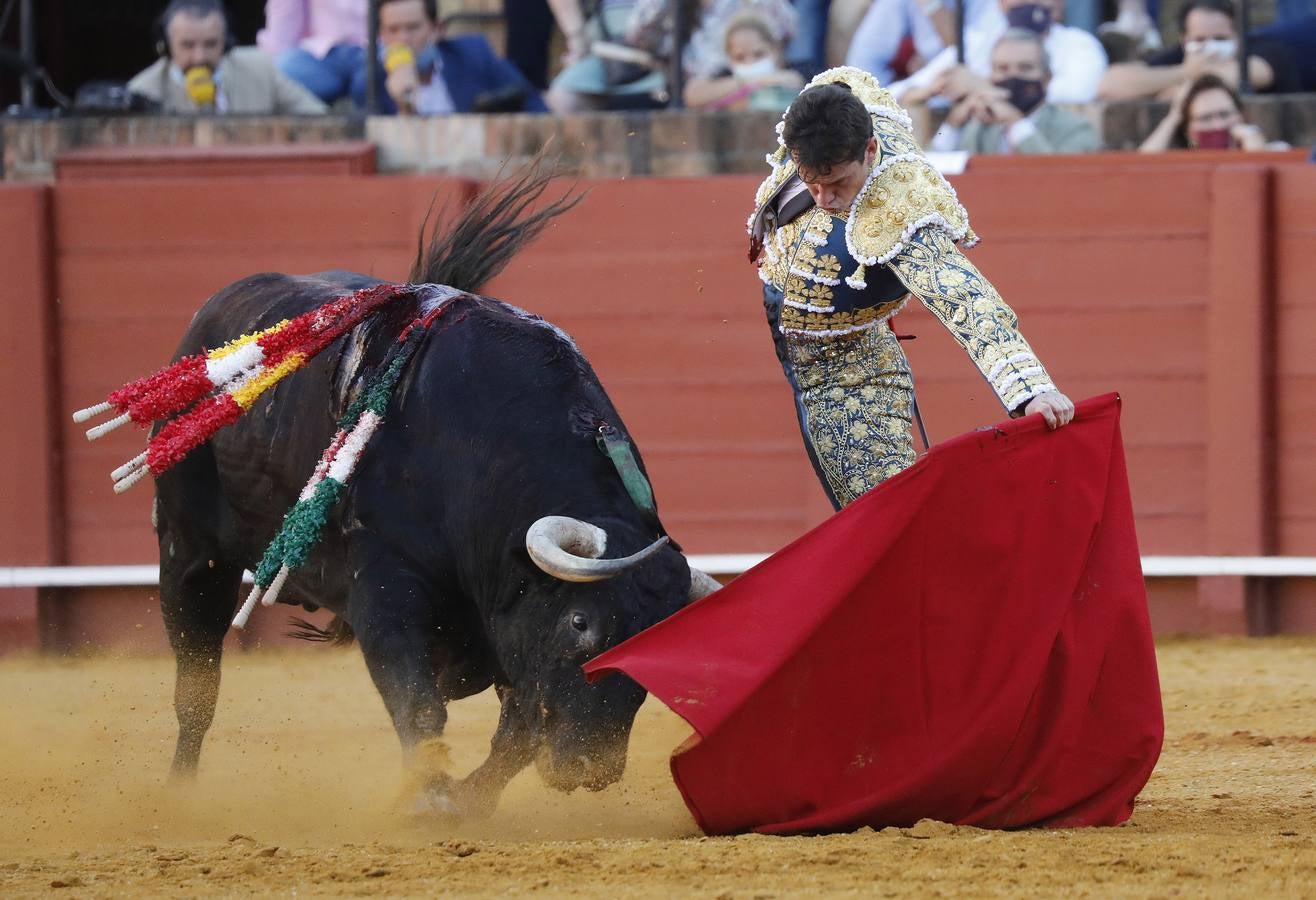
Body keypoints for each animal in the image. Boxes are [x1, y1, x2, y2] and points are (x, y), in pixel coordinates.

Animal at [153, 171, 721, 815]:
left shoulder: (506, 627)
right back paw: (178, 793)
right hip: (188, 551)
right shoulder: (386, 591)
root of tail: (208, 322)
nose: (590, 770)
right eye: (581, 623)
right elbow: (418, 704)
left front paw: (466, 803)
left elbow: (517, 735)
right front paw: (429, 800)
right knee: (197, 683)